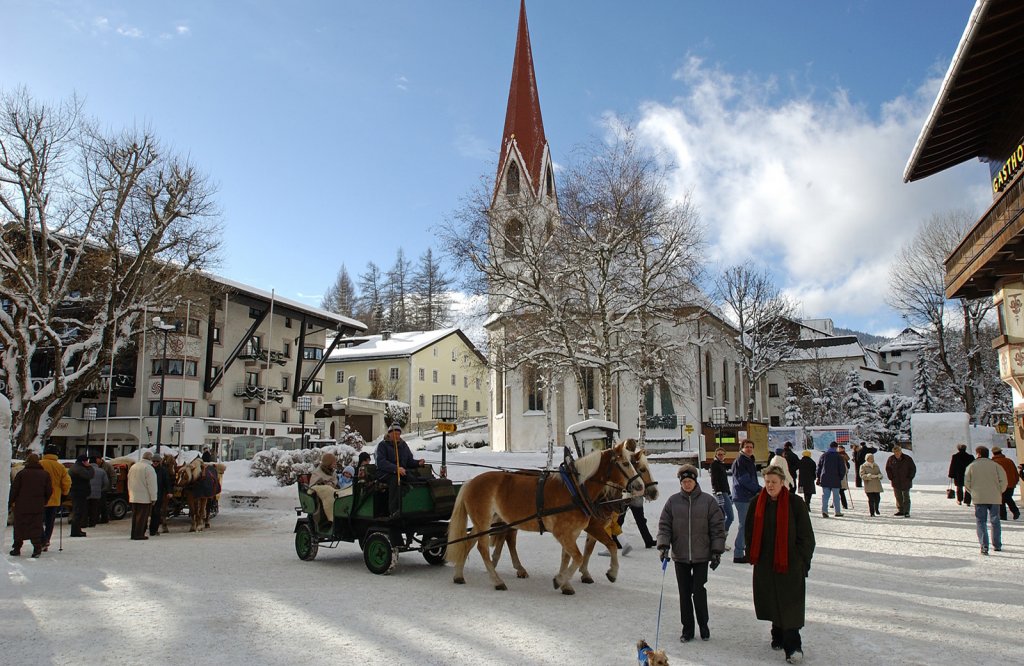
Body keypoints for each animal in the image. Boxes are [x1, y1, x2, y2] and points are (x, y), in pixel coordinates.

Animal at [448, 440, 638, 590]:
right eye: (626, 463)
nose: (639, 486)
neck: (575, 490)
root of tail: (470, 482)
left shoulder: (572, 533)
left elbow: (569, 557)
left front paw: (566, 583)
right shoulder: (564, 532)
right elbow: (578, 557)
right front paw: (561, 580)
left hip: (487, 522)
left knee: (470, 542)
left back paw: (459, 575)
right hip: (484, 521)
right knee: (483, 548)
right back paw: (496, 580)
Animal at [493, 438, 659, 581]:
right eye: (641, 468)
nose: (653, 492)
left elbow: (585, 549)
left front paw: (575, 574)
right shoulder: (592, 526)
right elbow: (600, 546)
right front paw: (591, 573)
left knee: (505, 537)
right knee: (508, 538)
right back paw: (505, 565)